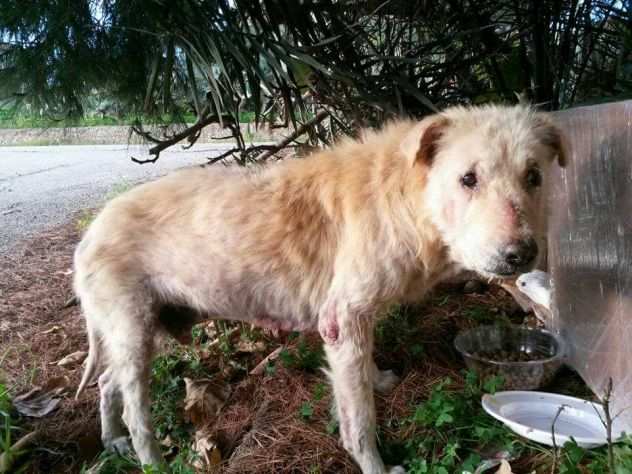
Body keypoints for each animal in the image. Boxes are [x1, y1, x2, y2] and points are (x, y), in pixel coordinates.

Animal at [74, 104, 568, 474]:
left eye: (534, 177)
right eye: (468, 179)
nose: (521, 255)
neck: (402, 200)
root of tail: (90, 232)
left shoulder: (357, 321)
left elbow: (365, 372)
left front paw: (378, 379)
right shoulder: (343, 321)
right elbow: (359, 420)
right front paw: (376, 467)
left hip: (138, 332)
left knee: (106, 382)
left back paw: (111, 440)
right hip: (135, 333)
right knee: (135, 410)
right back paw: (149, 460)